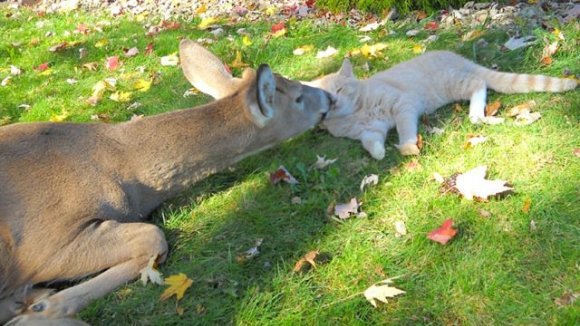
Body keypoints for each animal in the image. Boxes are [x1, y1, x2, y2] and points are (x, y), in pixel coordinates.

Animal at [0, 38, 338, 324]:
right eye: (298, 97)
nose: (330, 96)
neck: (124, 173)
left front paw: (37, 304)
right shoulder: (44, 245)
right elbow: (153, 237)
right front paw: (43, 307)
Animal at [306, 51, 576, 160]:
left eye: (339, 89)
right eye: (326, 96)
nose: (334, 101)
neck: (357, 112)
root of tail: (456, 56)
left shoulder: (402, 105)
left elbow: (405, 128)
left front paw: (407, 146)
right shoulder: (371, 131)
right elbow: (370, 142)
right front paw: (379, 153)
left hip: (452, 82)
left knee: (479, 83)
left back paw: (476, 114)